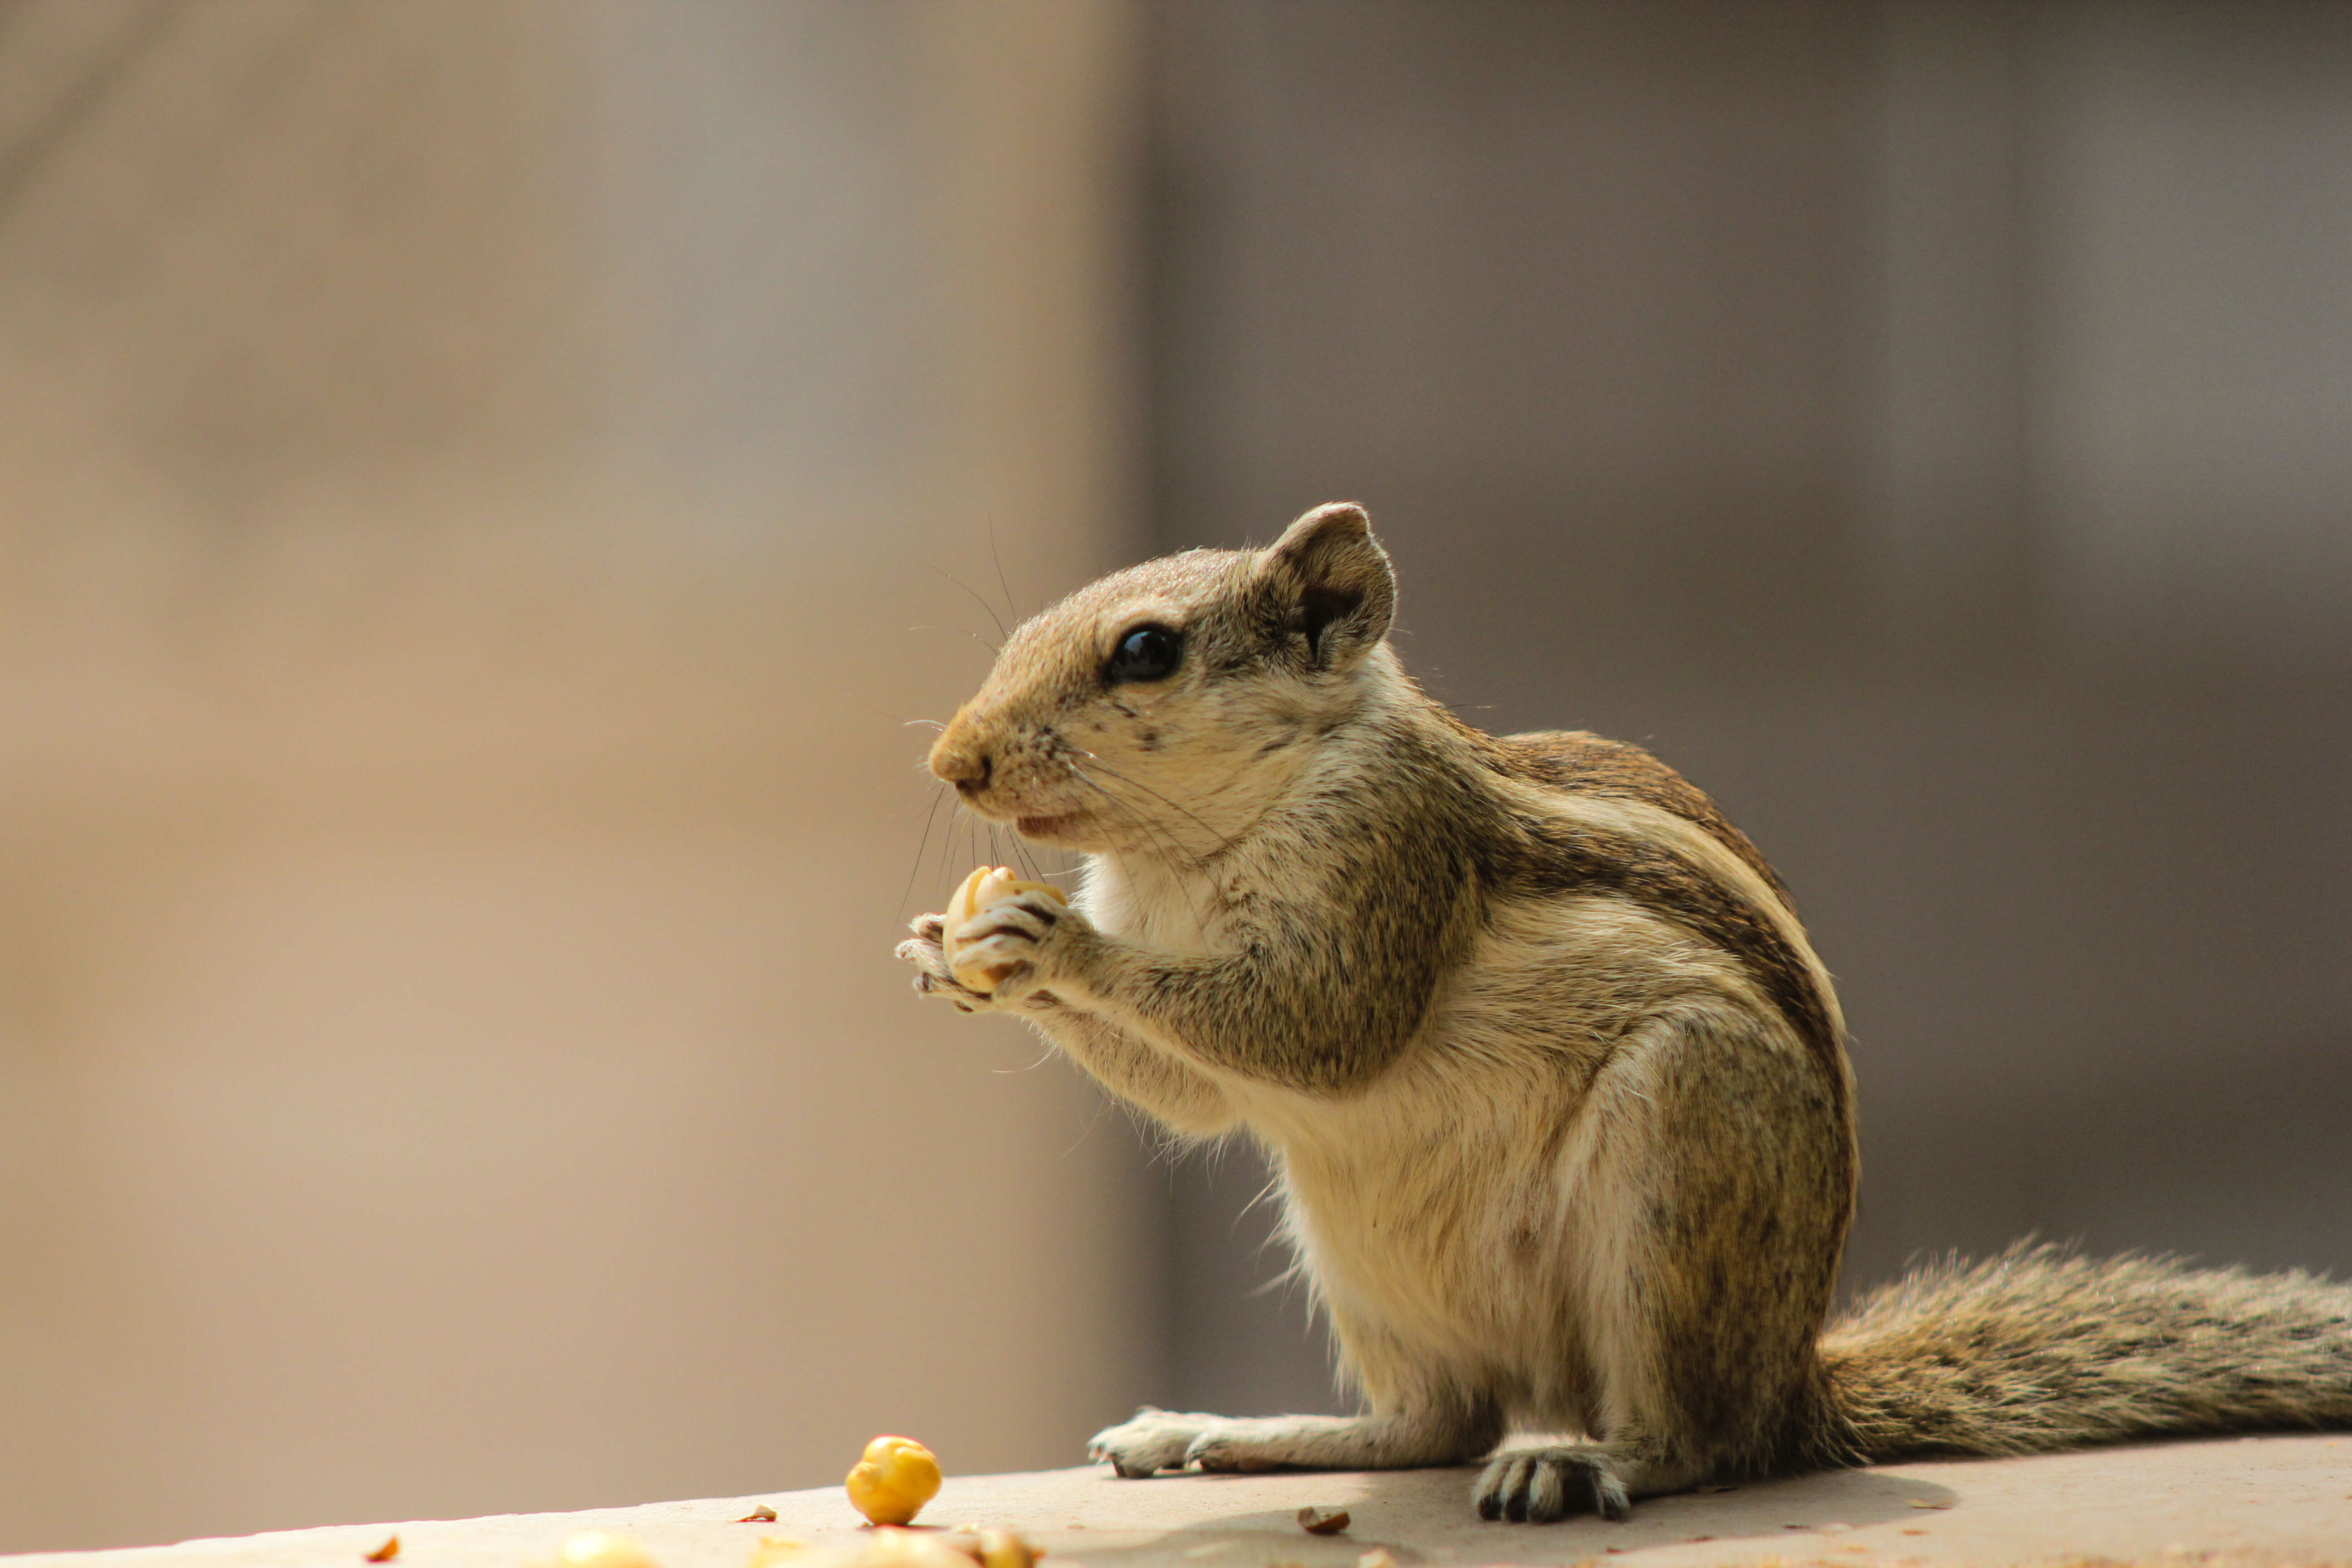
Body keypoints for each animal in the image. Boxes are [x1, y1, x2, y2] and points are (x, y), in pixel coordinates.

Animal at [884, 503, 2352, 1523]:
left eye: (1145, 651)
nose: (953, 760)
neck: (1190, 853)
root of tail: (1793, 1380)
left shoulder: (1385, 858)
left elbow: (1313, 1027)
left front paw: (1051, 940)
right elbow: (1197, 1095)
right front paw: (952, 953)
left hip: (1680, 1149)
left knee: (1687, 1441)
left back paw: (1583, 1466)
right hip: (1361, 1253)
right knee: (1435, 1424)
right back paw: (1232, 1434)